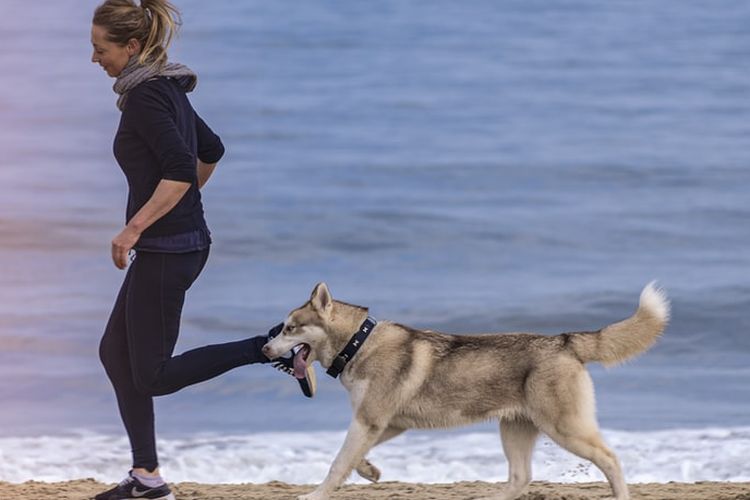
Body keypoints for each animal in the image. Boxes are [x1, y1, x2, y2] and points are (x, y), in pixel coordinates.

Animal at [262, 282, 668, 500]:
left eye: (290, 328)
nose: (264, 350)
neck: (359, 343)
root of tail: (565, 340)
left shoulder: (370, 420)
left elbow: (337, 462)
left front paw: (315, 494)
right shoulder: (384, 423)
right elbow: (353, 458)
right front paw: (370, 471)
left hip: (565, 429)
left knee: (611, 459)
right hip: (515, 429)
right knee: (520, 478)